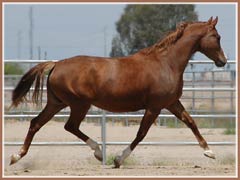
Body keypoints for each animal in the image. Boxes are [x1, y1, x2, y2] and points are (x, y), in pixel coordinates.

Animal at [9, 16, 227, 167]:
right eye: (217, 37)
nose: (223, 61)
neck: (167, 63)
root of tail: (56, 64)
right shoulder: (154, 107)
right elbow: (141, 134)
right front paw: (118, 160)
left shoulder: (172, 103)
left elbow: (191, 122)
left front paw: (210, 152)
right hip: (79, 105)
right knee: (70, 126)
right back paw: (99, 152)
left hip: (56, 103)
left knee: (36, 123)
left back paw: (16, 156)